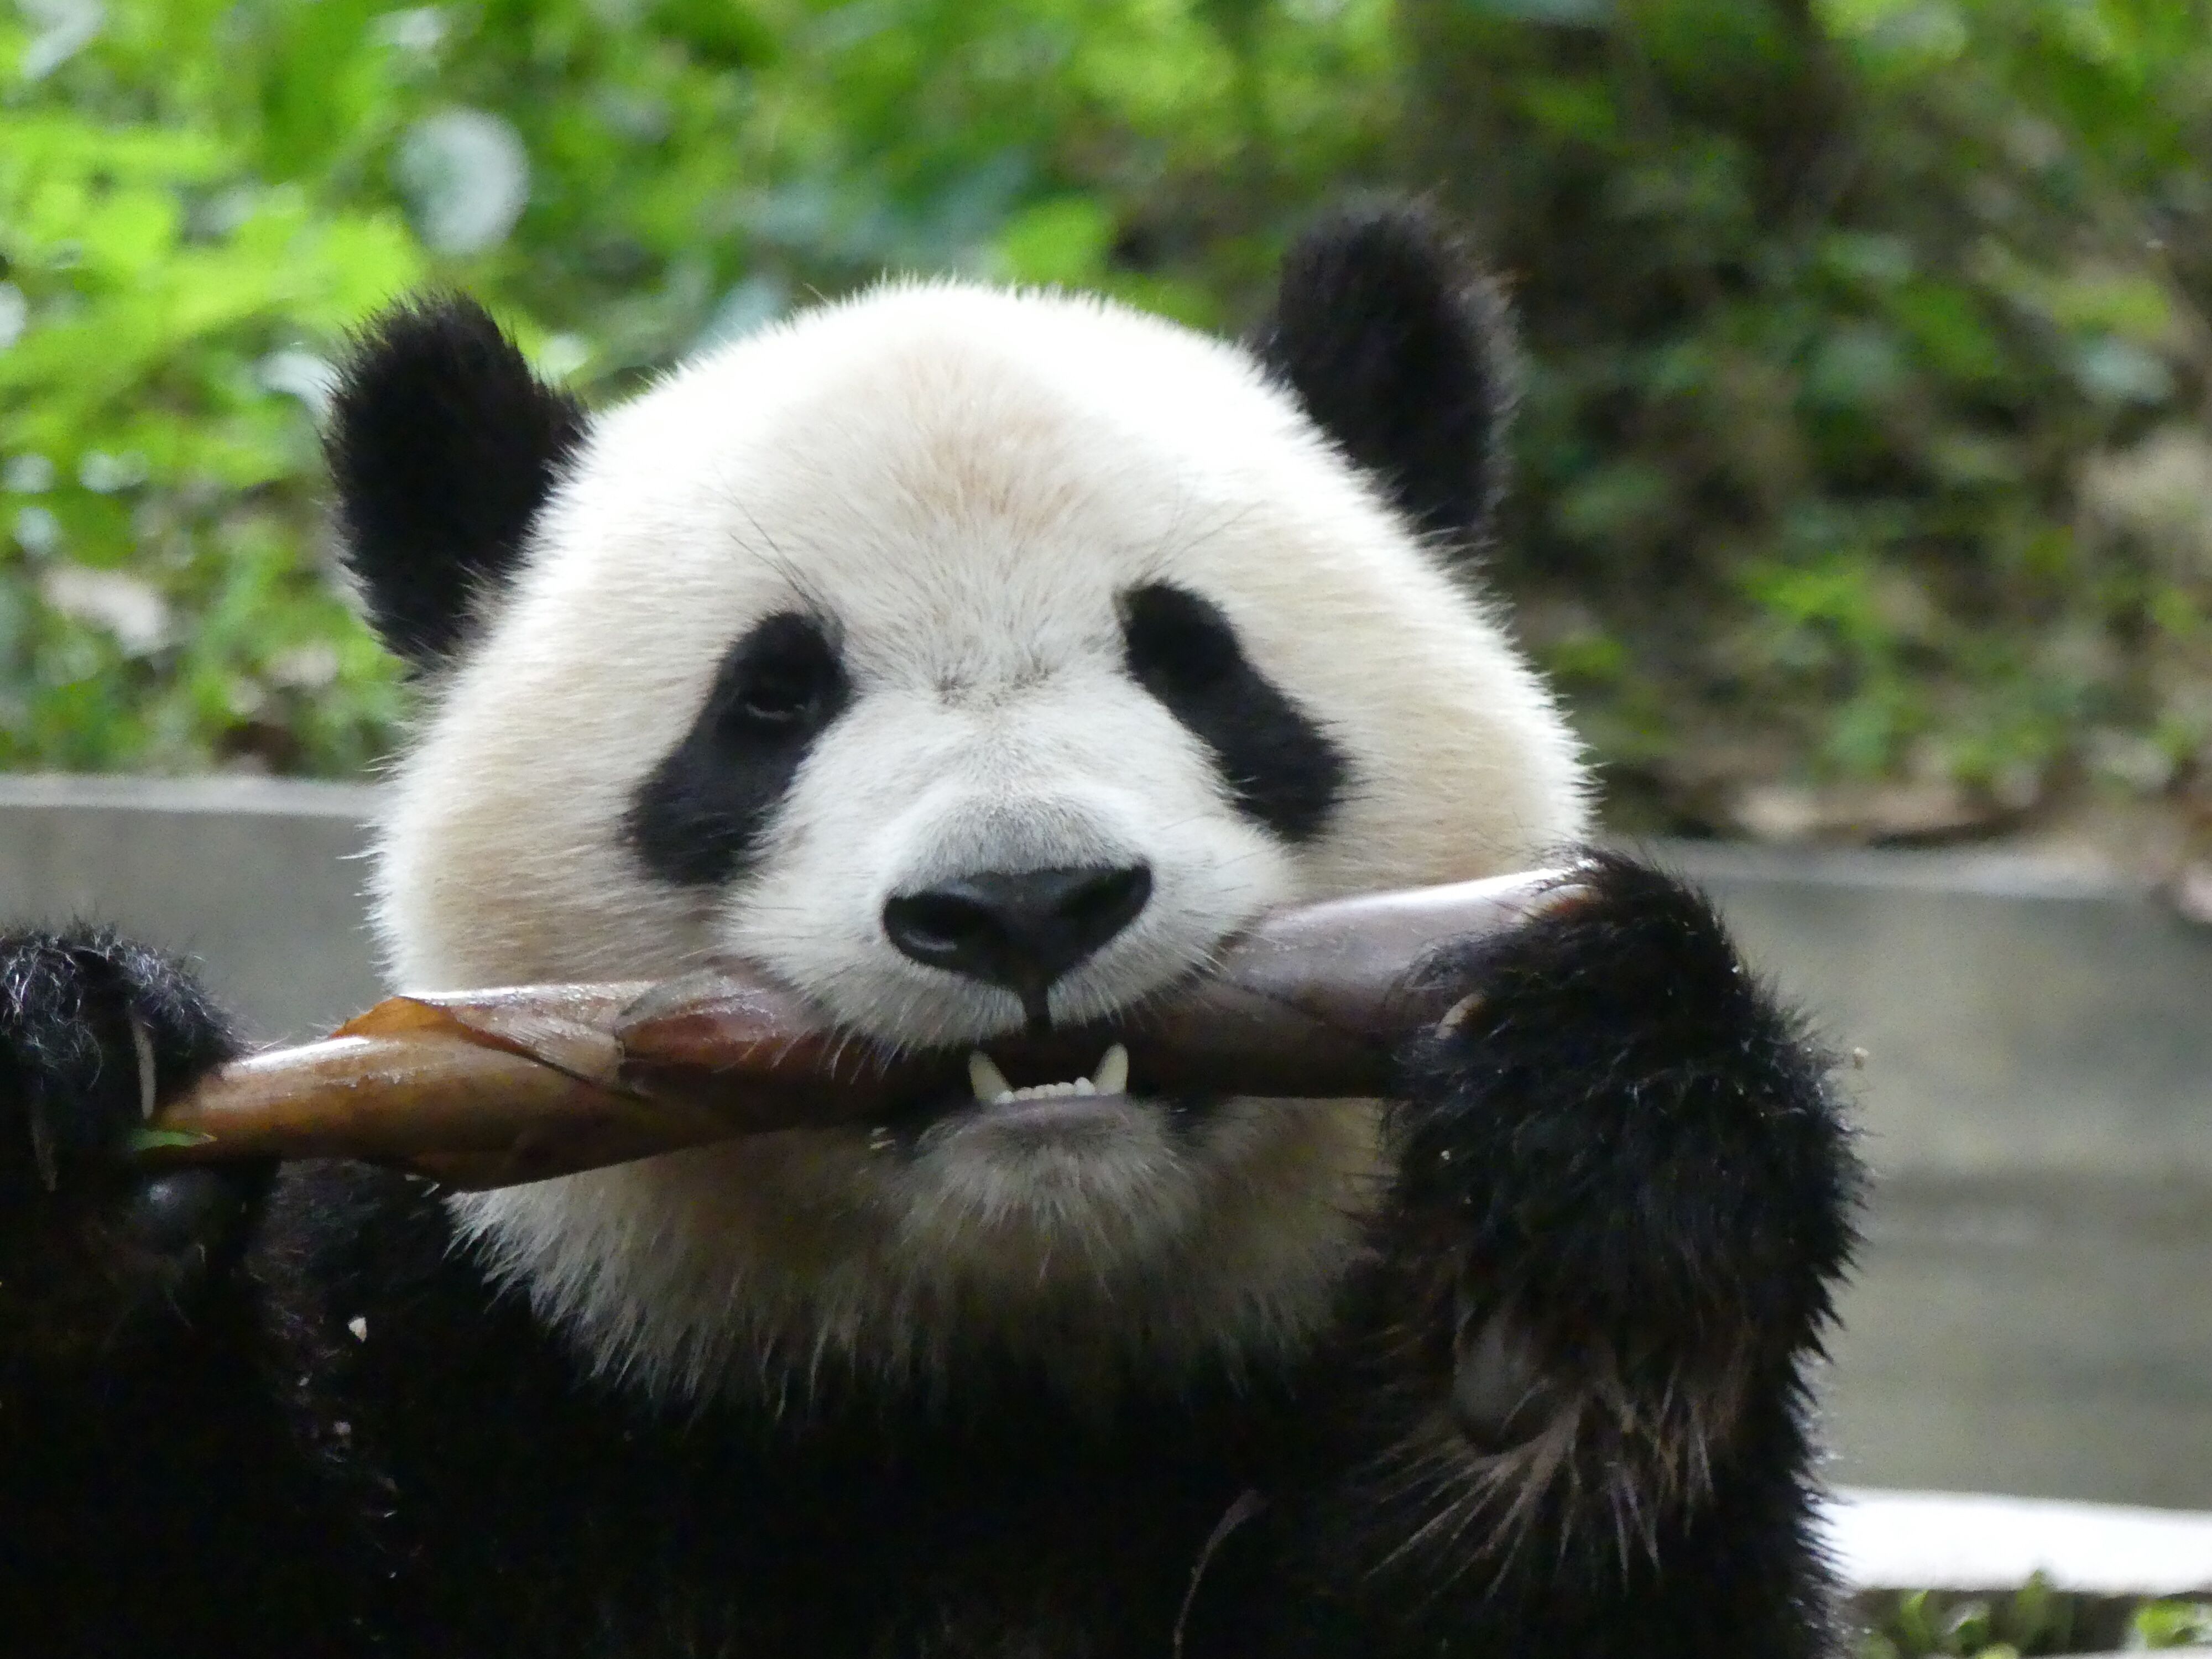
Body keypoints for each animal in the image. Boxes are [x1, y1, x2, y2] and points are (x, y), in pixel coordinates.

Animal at [0, 203, 1856, 1658]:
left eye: (1191, 658)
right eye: (768, 700)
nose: (1024, 905)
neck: (992, 1379)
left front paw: (1571, 1270)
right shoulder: (486, 1351)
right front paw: (77, 1124)